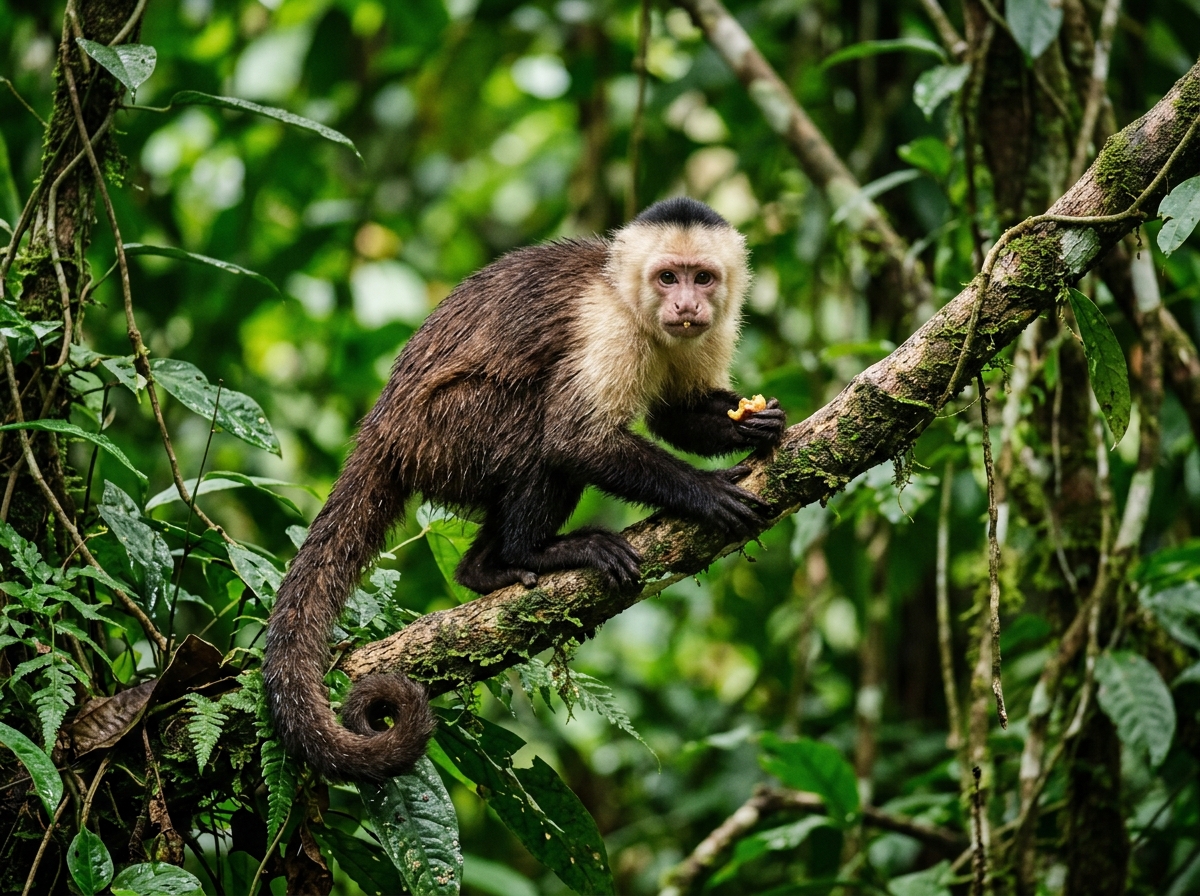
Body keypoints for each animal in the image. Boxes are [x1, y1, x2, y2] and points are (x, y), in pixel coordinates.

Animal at [262, 197, 786, 782]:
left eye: (703, 278)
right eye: (667, 277)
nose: (687, 304)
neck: (633, 305)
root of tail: (383, 428)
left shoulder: (710, 329)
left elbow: (674, 414)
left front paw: (755, 423)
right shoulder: (606, 325)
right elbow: (573, 440)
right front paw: (707, 491)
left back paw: (482, 568)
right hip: (444, 433)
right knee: (536, 431)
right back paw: (527, 553)